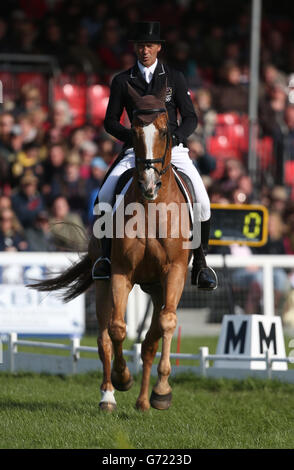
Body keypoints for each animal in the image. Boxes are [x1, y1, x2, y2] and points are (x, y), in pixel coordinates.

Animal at [31, 85, 194, 412]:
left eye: (165, 130)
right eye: (133, 132)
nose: (148, 184)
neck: (152, 208)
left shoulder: (175, 273)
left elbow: (167, 323)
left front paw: (162, 391)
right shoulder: (120, 272)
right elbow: (117, 329)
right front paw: (122, 379)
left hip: (157, 288)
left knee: (150, 341)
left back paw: (145, 401)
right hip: (104, 282)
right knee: (104, 337)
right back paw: (108, 395)